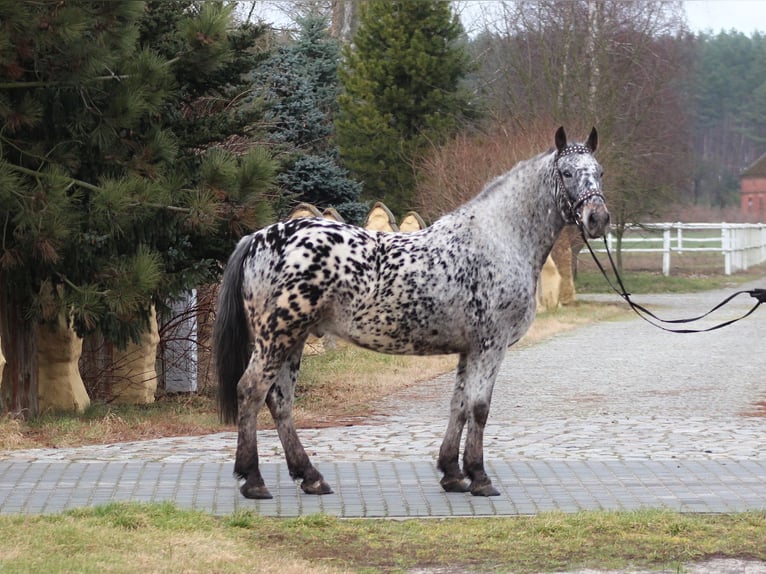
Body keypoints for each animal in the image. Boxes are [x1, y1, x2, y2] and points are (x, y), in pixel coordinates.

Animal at [213, 127, 608, 500]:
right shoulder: (490, 345)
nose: (598, 218)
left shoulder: (469, 349)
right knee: (251, 390)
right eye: (567, 172)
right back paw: (253, 480)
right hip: (276, 338)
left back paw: (310, 477)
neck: (499, 239)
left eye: (600, 172)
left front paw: (452, 474)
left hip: (292, 340)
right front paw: (479, 477)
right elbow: (480, 407)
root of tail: (259, 238)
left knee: (279, 401)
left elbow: (458, 406)